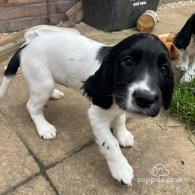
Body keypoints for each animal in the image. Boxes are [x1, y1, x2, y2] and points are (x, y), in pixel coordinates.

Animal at [0, 32, 174, 186]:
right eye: (128, 62)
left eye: (164, 69)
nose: (145, 99)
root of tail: (26, 45)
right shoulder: (97, 115)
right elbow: (110, 143)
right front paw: (121, 169)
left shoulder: (120, 105)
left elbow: (120, 119)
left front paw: (123, 134)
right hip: (42, 82)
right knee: (32, 106)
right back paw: (44, 127)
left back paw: (54, 94)